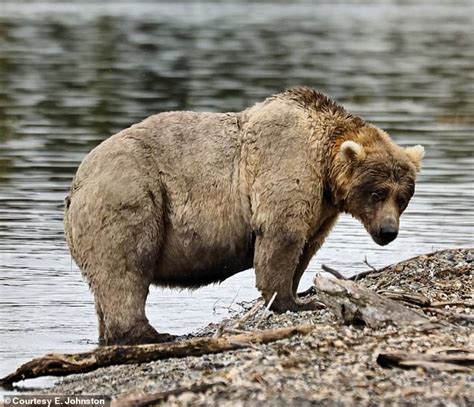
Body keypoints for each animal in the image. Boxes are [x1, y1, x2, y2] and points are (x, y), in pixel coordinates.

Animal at [62, 87, 422, 346]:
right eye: (376, 192)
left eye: (403, 196)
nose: (388, 231)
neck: (325, 167)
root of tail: (77, 183)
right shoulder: (287, 162)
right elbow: (281, 236)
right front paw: (293, 301)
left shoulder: (322, 208)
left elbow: (306, 246)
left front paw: (300, 292)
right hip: (131, 196)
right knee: (127, 267)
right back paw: (150, 334)